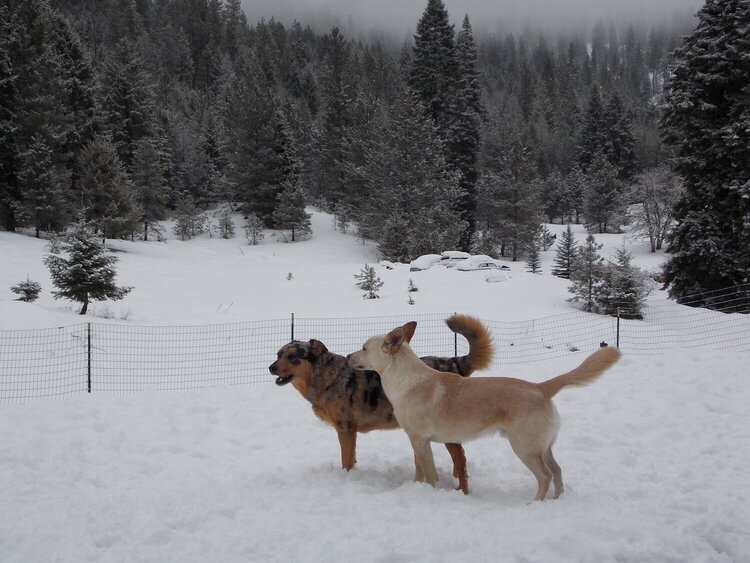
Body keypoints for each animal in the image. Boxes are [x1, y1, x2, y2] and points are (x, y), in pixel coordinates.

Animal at [350, 322, 624, 502]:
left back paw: (534, 504)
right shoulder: (416, 440)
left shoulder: (420, 440)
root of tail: (540, 387)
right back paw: (555, 502)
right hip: (542, 447)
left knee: (545, 476)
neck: (405, 379)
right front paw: (416, 488)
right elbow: (418, 470)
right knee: (557, 471)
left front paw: (430, 493)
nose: (348, 356)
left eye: (363, 347)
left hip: (524, 447)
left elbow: (429, 473)